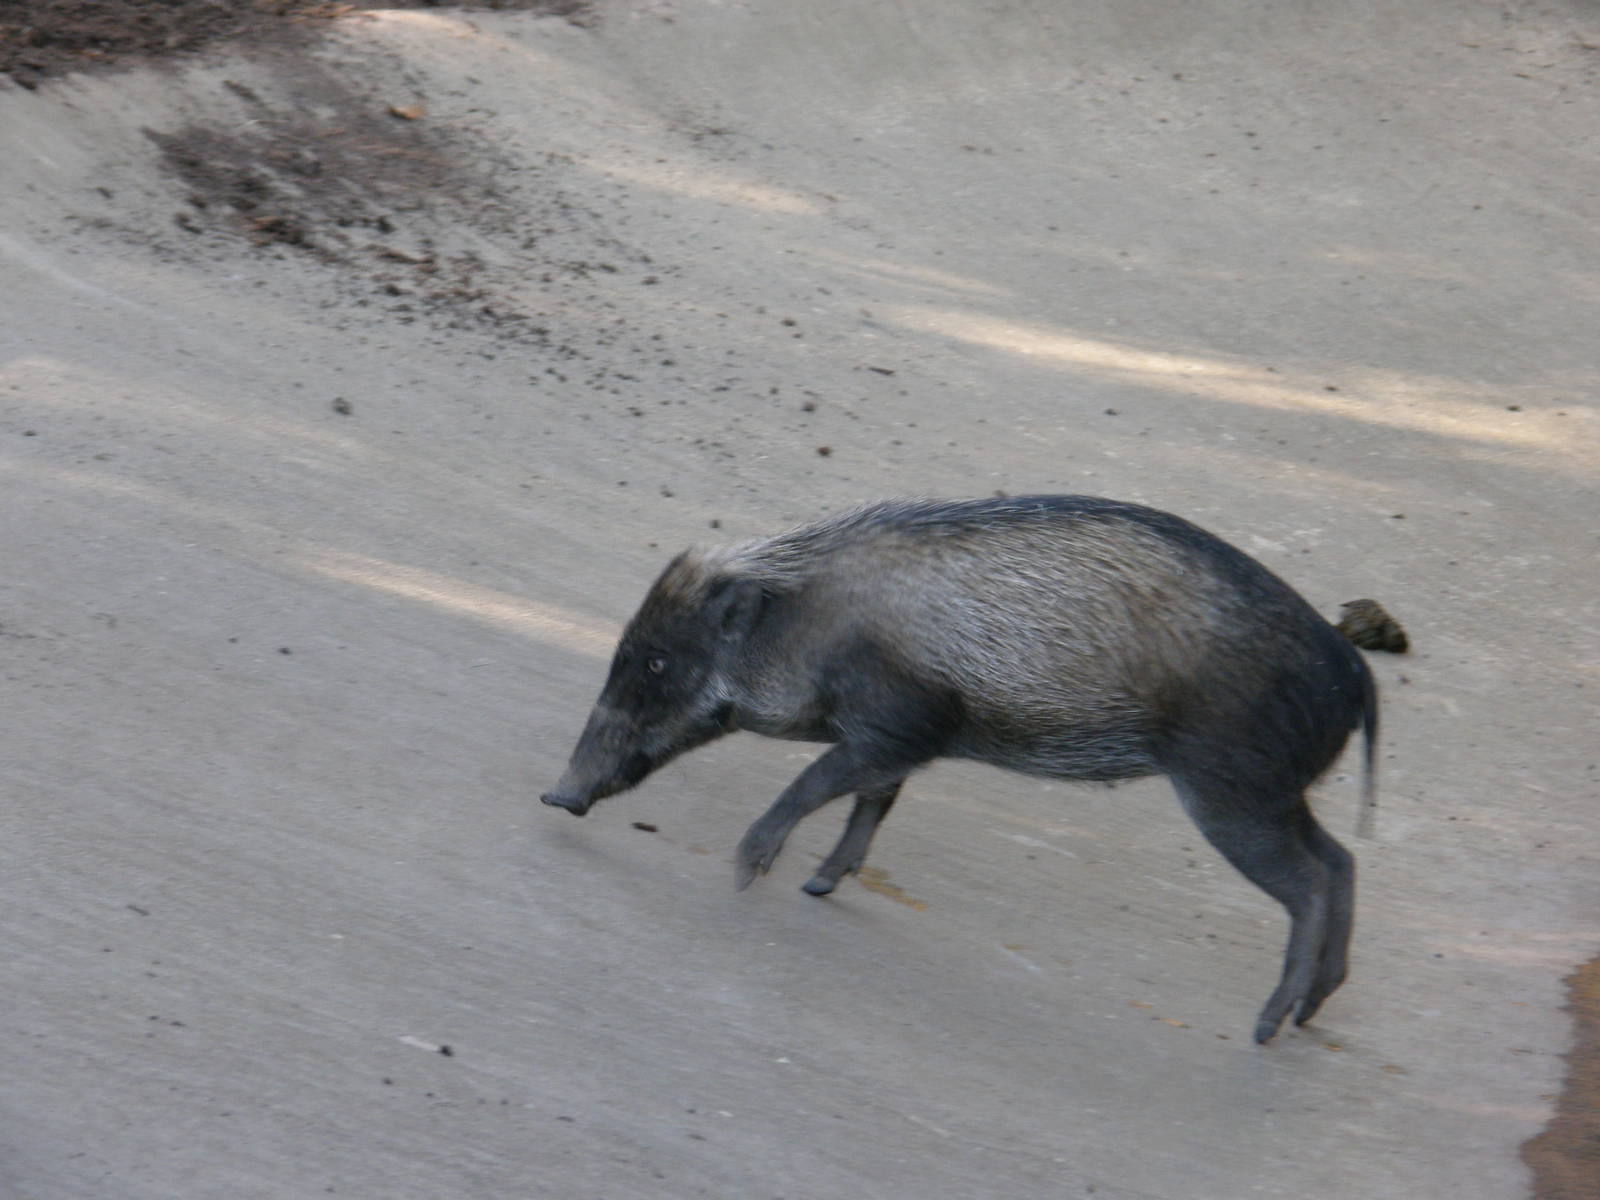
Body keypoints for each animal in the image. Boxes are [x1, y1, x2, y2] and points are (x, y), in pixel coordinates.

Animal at [541, 495, 1378, 1043]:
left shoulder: (897, 724)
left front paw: (748, 872)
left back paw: (1266, 1028)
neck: (813, 624)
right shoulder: (903, 741)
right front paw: (819, 886)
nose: (556, 795)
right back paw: (1313, 1009)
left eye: (657, 660)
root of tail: (1354, 672)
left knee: (1310, 882)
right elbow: (872, 802)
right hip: (1276, 794)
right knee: (1341, 861)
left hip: (1230, 791)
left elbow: (819, 784)